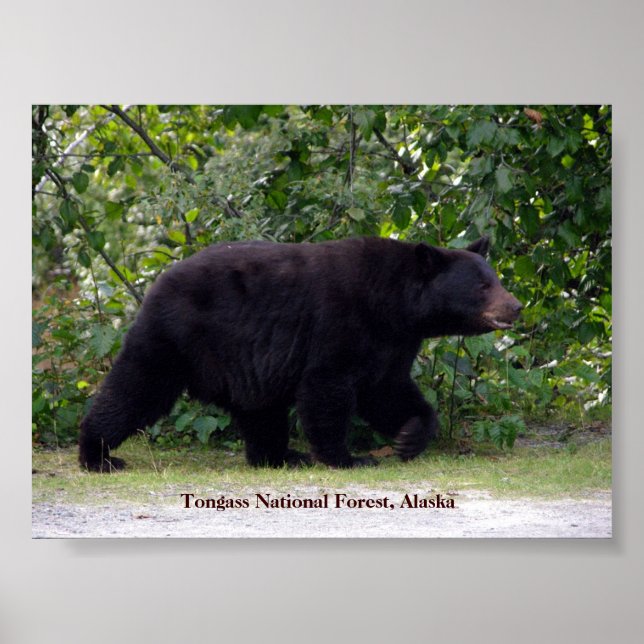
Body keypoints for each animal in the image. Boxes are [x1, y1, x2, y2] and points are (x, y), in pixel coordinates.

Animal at [78, 236, 522, 472]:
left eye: (496, 278)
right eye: (483, 286)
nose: (516, 306)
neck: (393, 303)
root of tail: (156, 283)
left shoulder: (391, 341)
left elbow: (387, 389)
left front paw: (409, 437)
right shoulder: (340, 323)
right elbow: (328, 389)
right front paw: (348, 458)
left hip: (245, 364)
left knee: (260, 411)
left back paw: (280, 455)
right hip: (177, 338)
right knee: (137, 389)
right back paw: (97, 455)